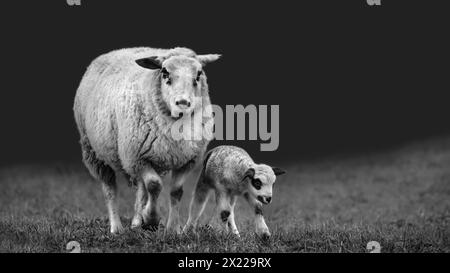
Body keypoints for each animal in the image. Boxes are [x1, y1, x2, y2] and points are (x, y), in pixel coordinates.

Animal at [73, 46, 221, 232]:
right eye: (164, 72)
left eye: (199, 73)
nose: (183, 103)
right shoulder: (137, 156)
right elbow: (154, 185)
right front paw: (151, 219)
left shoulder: (187, 160)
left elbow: (176, 191)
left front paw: (172, 228)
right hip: (95, 152)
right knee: (110, 189)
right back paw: (116, 227)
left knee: (140, 188)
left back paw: (137, 221)